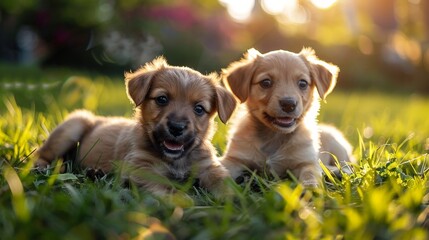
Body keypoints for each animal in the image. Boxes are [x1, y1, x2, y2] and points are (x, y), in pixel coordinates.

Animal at [36, 57, 237, 197]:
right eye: (162, 99)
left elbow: (223, 182)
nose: (176, 127)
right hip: (73, 126)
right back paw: (43, 167)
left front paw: (233, 200)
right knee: (42, 153)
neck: (176, 160)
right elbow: (162, 186)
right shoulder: (140, 167)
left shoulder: (208, 167)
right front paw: (180, 201)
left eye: (199, 109)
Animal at [219, 47, 352, 187]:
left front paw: (310, 189)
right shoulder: (234, 158)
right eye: (266, 82)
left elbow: (310, 176)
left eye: (303, 83)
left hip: (338, 149)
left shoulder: (306, 162)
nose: (288, 104)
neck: (274, 136)